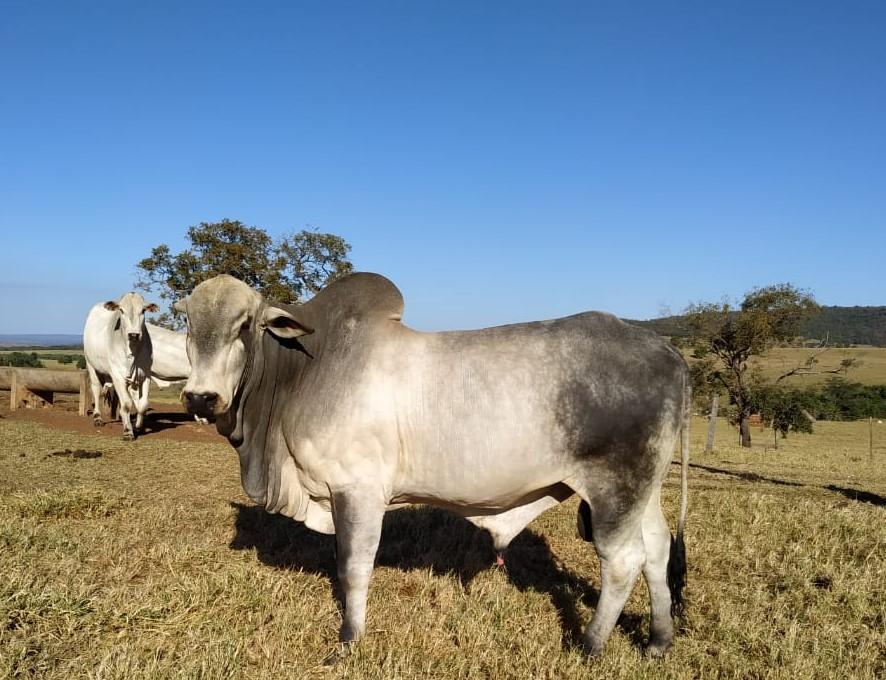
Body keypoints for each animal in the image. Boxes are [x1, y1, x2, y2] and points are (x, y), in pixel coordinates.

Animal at [173, 272, 692, 660]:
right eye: (188, 323)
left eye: (245, 324)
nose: (200, 397)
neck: (304, 370)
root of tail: (668, 352)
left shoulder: (357, 490)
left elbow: (353, 567)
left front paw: (348, 641)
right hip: (644, 490)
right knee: (657, 550)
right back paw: (658, 641)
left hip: (613, 488)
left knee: (623, 562)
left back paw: (590, 644)